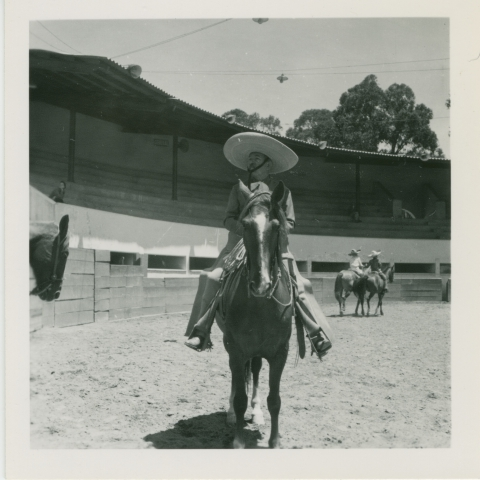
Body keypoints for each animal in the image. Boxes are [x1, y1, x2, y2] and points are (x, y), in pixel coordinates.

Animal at [221, 181, 292, 450]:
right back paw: (232, 415)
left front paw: (274, 441)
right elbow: (240, 396)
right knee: (237, 378)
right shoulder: (236, 348)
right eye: (245, 225)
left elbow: (275, 399)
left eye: (276, 226)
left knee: (256, 371)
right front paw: (239, 440)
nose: (260, 284)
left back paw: (257, 412)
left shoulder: (280, 353)